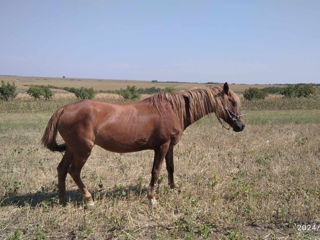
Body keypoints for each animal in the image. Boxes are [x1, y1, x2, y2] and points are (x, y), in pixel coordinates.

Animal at [41, 82, 244, 206]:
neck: (173, 109)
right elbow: (156, 171)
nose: (241, 126)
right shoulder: (162, 146)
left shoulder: (170, 146)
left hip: (72, 149)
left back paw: (63, 201)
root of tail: (64, 108)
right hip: (83, 150)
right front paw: (152, 198)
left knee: (61, 169)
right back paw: (89, 199)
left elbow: (170, 167)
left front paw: (173, 188)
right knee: (74, 171)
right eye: (232, 102)